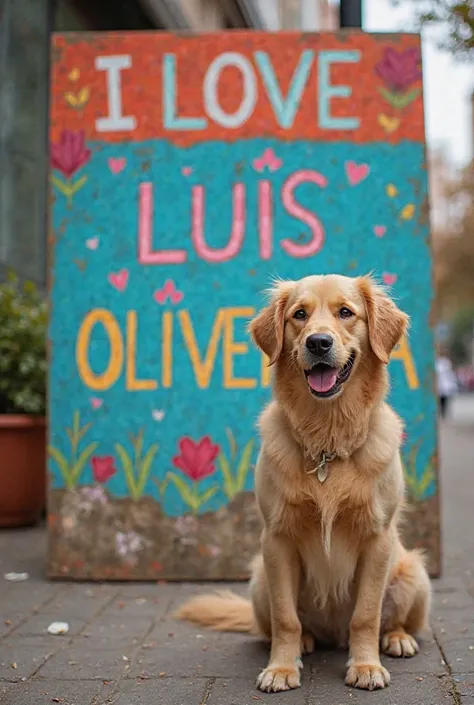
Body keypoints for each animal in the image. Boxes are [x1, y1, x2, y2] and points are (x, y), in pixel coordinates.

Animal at [176, 276, 432, 692]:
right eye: (299, 314)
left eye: (345, 312)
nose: (318, 343)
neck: (327, 440)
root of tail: (333, 636)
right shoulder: (277, 539)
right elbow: (286, 619)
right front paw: (281, 668)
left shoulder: (377, 539)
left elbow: (366, 615)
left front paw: (366, 666)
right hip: (259, 580)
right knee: (286, 625)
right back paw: (307, 642)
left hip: (413, 572)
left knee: (389, 620)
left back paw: (396, 638)